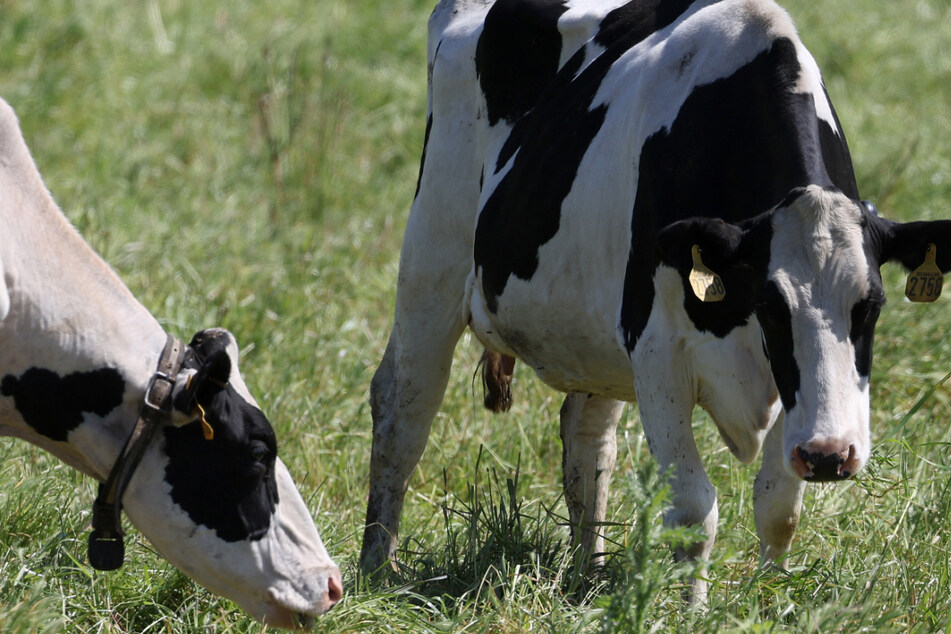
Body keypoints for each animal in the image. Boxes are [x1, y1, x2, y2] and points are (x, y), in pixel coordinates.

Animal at [360, 0, 951, 604]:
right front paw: (694, 610)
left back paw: (590, 574)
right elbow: (694, 510)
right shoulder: (659, 352)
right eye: (769, 306)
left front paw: (769, 601)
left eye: (871, 305)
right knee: (402, 411)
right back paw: (376, 567)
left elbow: (778, 506)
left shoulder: (786, 384)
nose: (831, 454)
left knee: (587, 439)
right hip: (432, 258)